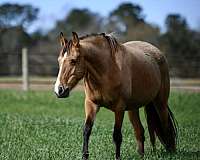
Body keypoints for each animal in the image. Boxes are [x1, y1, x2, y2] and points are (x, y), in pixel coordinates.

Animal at [54, 31, 177, 159]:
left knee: (166, 126)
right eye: (59, 61)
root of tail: (158, 53)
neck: (107, 70)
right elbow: (87, 130)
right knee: (139, 131)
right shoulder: (91, 104)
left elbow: (117, 135)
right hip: (133, 108)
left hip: (160, 103)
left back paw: (171, 151)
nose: (59, 90)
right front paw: (84, 156)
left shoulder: (119, 108)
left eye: (73, 60)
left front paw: (117, 157)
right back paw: (141, 155)